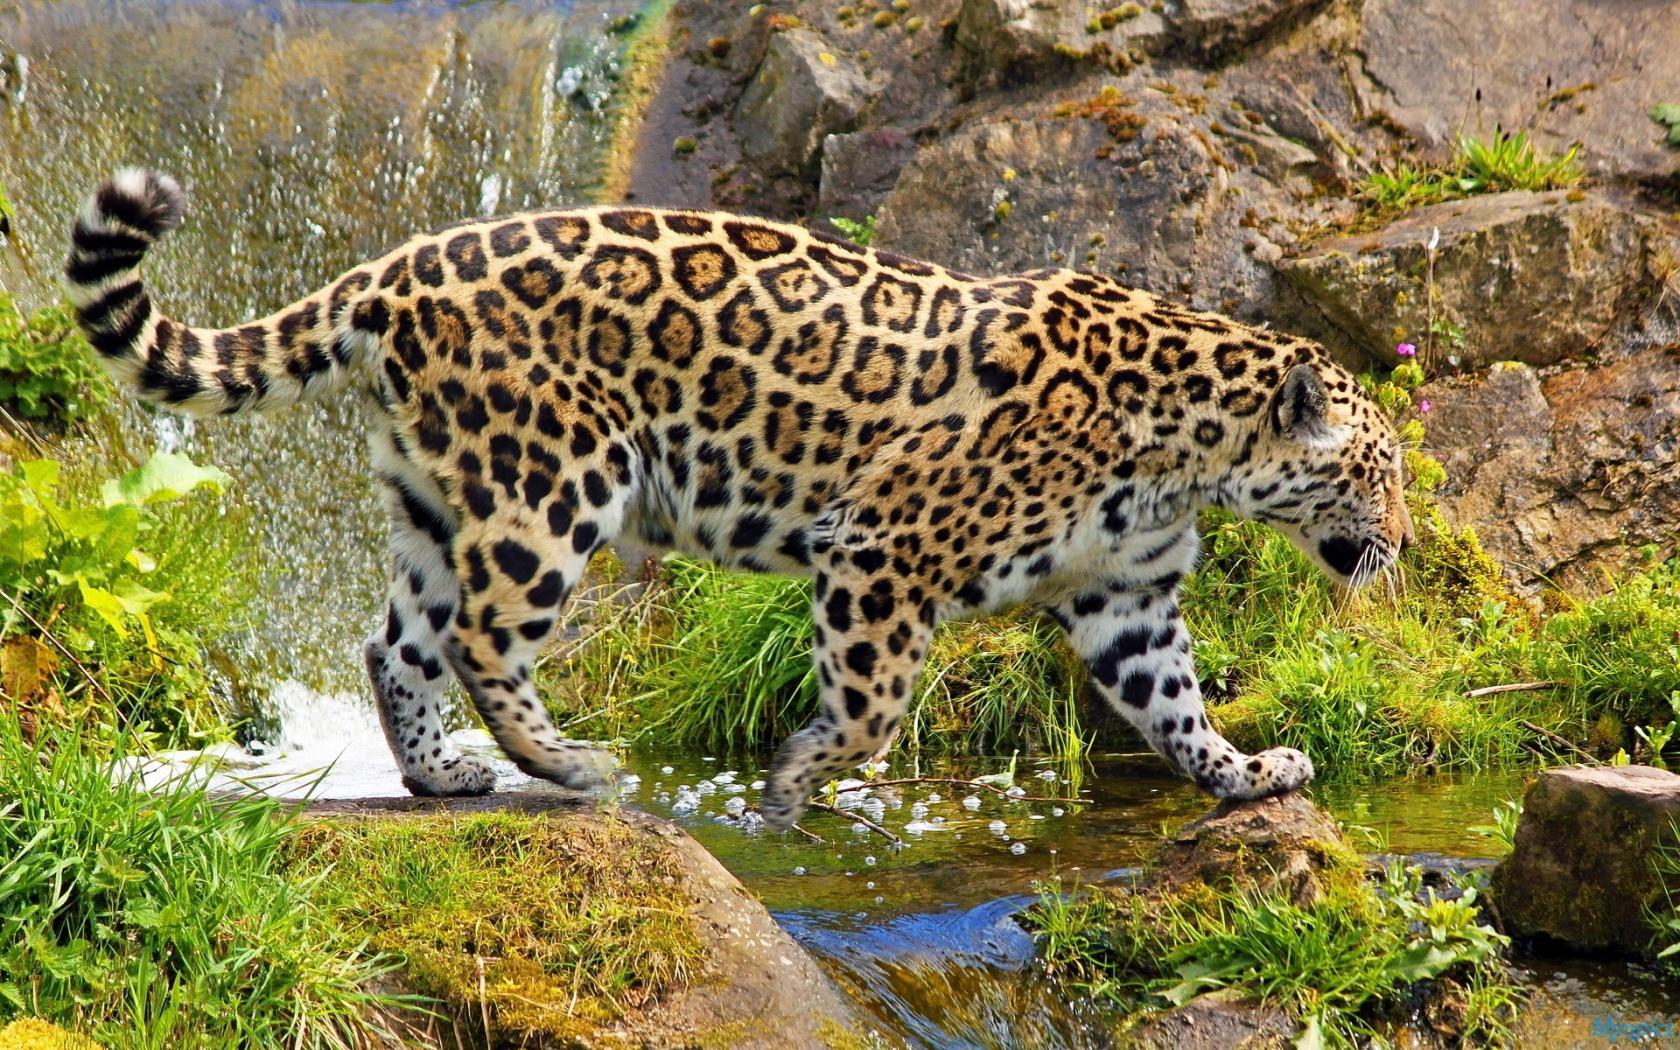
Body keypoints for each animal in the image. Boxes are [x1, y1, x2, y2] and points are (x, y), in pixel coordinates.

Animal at [65, 169, 1413, 830]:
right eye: (1383, 473)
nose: (1399, 546)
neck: (1193, 446)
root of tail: (394, 269)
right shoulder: (882, 548)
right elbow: (874, 707)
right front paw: (797, 781)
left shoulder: (1125, 598)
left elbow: (1174, 705)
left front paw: (1248, 775)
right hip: (554, 479)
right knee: (484, 636)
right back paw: (571, 765)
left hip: (439, 499)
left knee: (396, 639)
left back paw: (445, 777)